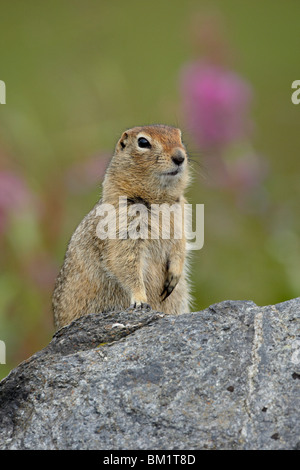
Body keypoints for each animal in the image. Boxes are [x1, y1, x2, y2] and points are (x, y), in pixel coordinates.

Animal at [52, 125, 191, 330]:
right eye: (143, 142)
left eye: (180, 137)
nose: (180, 157)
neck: (158, 200)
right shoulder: (122, 227)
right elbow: (126, 262)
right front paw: (140, 300)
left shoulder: (181, 218)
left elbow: (179, 247)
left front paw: (174, 276)